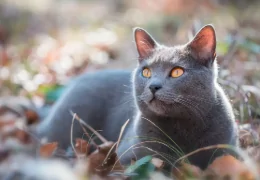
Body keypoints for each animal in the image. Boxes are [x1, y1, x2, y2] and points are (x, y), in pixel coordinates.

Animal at [36, 24, 238, 171]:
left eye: (177, 72)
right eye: (146, 72)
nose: (153, 86)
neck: (181, 128)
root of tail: (74, 81)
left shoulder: (229, 152)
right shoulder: (128, 156)